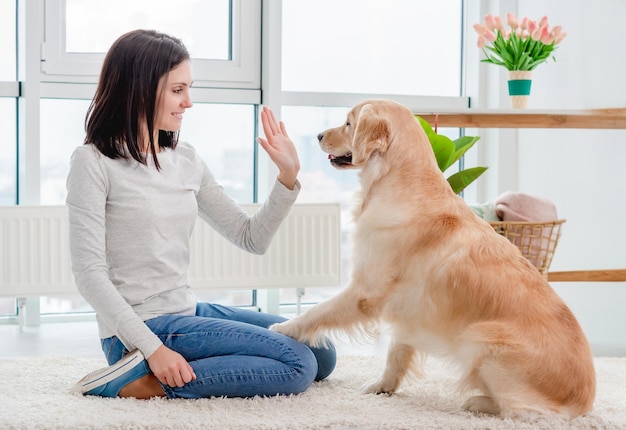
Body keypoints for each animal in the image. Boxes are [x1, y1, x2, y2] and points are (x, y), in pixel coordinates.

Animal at [272, 99, 596, 418]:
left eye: (349, 123)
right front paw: (383, 386)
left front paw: (284, 328)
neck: (397, 182)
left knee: (524, 411)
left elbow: (318, 311)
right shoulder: (408, 304)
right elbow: (396, 351)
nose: (318, 135)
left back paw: (478, 402)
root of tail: (584, 402)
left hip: (481, 338)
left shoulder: (365, 290)